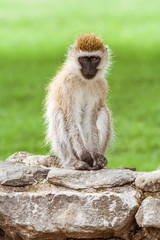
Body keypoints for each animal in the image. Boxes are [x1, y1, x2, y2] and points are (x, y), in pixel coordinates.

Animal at [44, 33, 112, 171]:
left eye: (94, 59)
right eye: (84, 59)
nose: (89, 69)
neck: (83, 80)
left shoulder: (101, 86)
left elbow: (90, 120)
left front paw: (96, 155)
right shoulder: (67, 85)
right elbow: (71, 120)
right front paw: (85, 155)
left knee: (103, 111)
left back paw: (99, 160)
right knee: (58, 114)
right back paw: (72, 162)